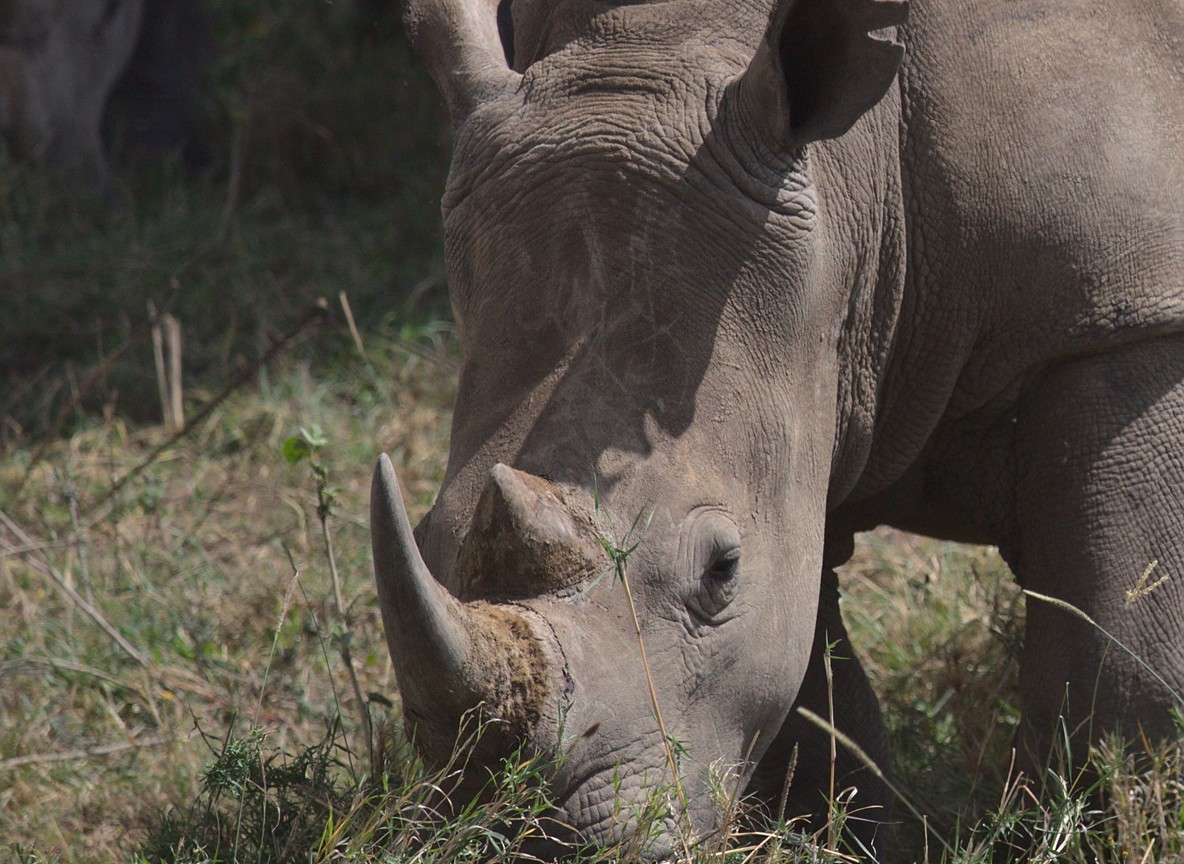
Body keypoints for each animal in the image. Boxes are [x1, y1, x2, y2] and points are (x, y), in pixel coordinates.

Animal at [371, 0, 1184, 856]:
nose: (529, 839)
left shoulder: (1118, 318)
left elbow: (1121, 667)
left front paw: (1109, 829)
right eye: (425, 540)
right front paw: (828, 838)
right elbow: (809, 696)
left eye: (720, 568)